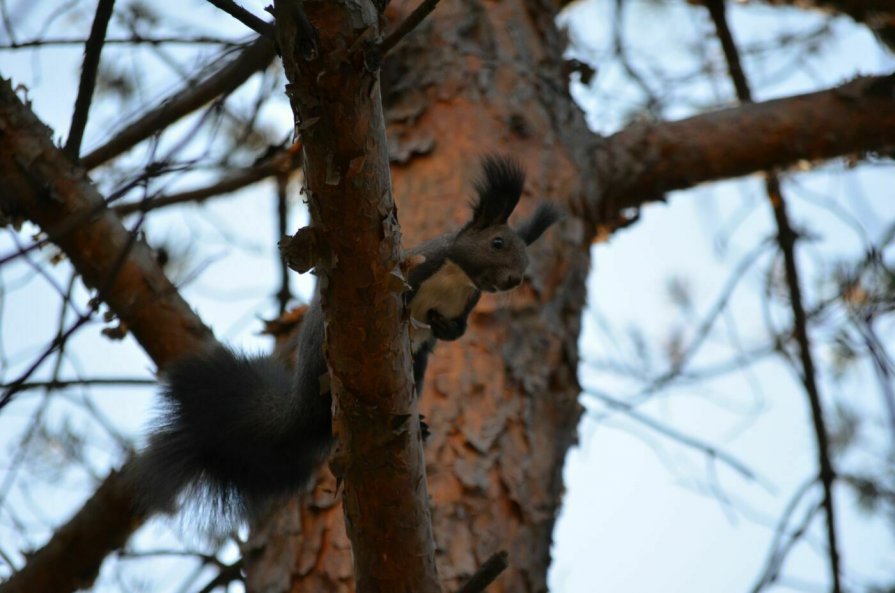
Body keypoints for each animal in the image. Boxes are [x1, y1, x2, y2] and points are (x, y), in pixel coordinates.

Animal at [131, 155, 560, 520]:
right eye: (497, 243)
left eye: (525, 256)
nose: (515, 279)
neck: (456, 279)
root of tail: (300, 406)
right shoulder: (420, 269)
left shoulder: (465, 305)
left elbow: (456, 333)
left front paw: (443, 328)